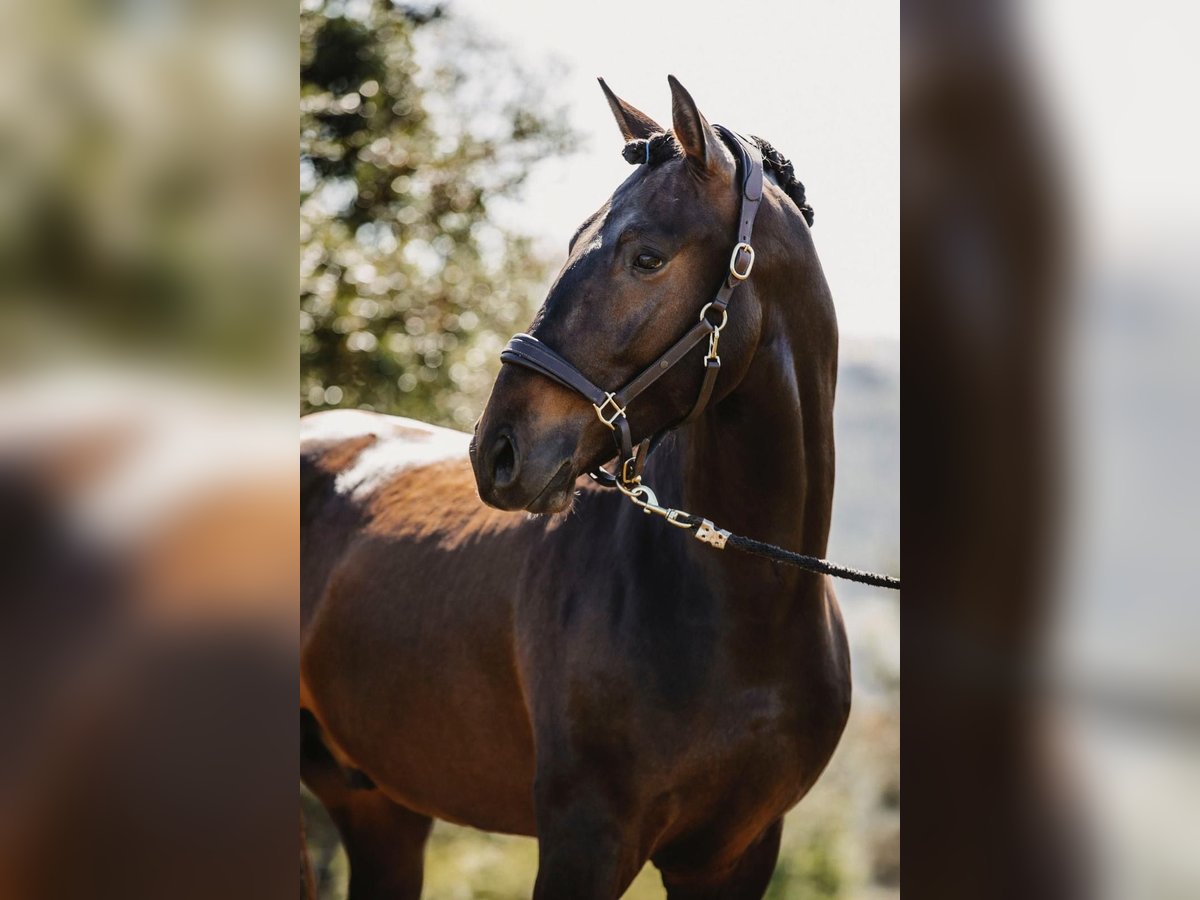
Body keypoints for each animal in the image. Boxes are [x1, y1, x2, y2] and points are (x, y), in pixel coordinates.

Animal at [298, 77, 849, 900]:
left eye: (647, 257)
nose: (496, 450)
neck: (748, 610)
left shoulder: (737, 855)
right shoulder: (585, 839)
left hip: (381, 809)